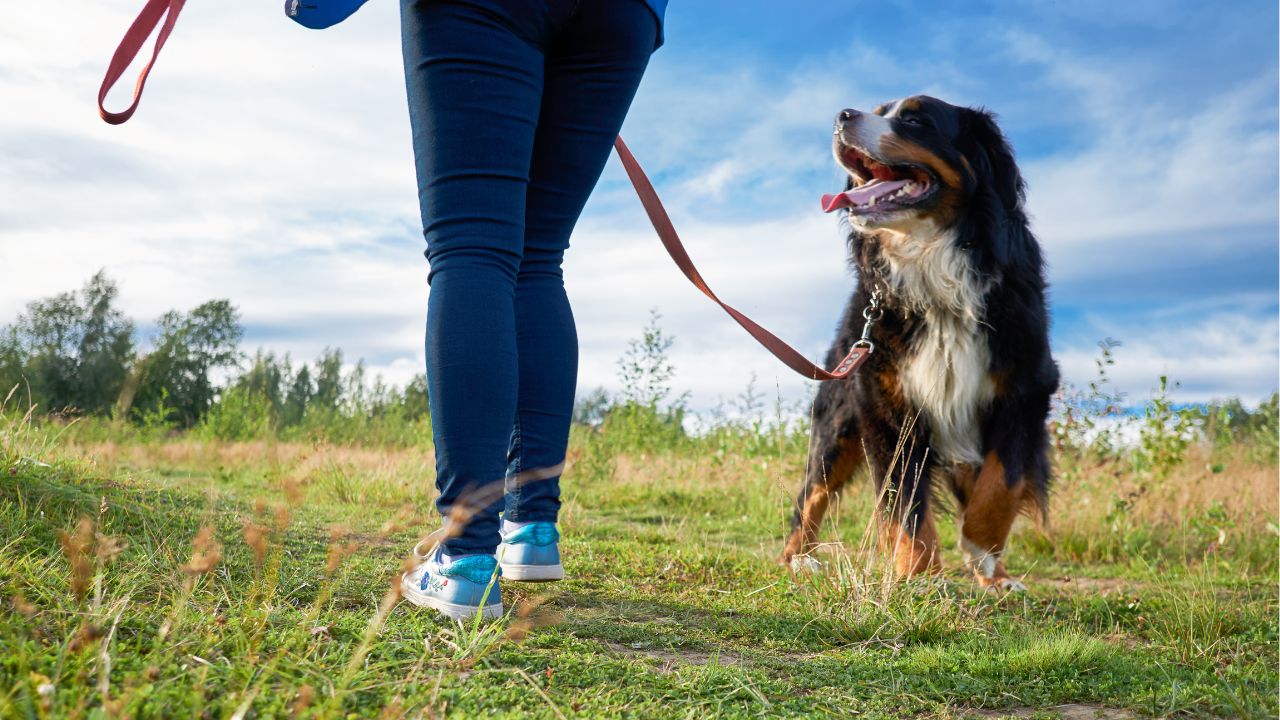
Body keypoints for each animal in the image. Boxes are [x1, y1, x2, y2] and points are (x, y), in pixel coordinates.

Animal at [778, 95, 1059, 589]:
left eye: (914, 120)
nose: (842, 116)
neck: (932, 267)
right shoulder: (887, 405)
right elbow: (905, 502)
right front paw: (918, 574)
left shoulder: (1025, 389)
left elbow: (1000, 484)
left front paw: (985, 557)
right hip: (836, 419)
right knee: (810, 495)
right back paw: (798, 558)